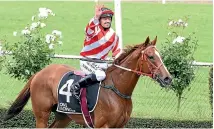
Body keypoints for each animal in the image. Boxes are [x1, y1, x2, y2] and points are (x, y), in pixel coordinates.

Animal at [3, 36, 172, 128]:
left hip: (63, 116)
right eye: (151, 56)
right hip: (41, 114)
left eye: (159, 55)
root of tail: (39, 73)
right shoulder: (102, 126)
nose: (167, 78)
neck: (117, 90)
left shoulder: (120, 126)